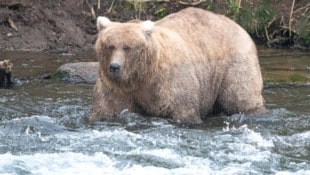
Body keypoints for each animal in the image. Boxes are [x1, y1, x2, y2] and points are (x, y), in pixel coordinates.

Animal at [88, 7, 266, 123]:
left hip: (233, 63)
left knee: (240, 96)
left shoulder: (170, 81)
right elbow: (106, 107)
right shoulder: (117, 87)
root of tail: (238, 25)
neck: (142, 75)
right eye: (110, 46)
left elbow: (183, 109)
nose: (114, 67)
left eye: (127, 47)